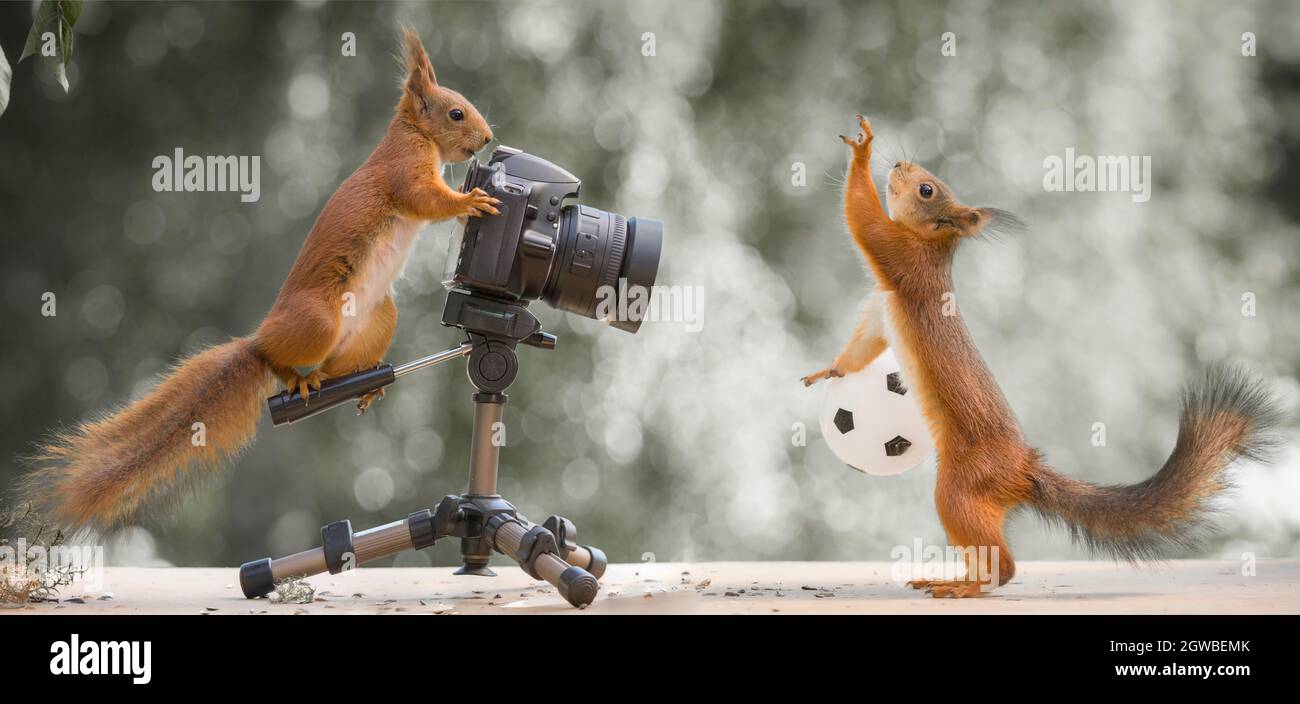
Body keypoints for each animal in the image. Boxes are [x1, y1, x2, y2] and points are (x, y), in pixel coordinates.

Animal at [25, 28, 501, 535]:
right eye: (456, 113)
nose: (488, 138)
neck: (414, 134)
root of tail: (257, 341)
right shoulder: (404, 170)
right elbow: (427, 199)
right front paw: (470, 200)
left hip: (376, 318)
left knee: (334, 365)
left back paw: (363, 380)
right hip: (317, 321)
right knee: (280, 362)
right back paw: (300, 380)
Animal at [800, 113, 1279, 600]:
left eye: (927, 190)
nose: (898, 163)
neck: (931, 245)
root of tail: (1022, 469)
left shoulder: (899, 259)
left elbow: (863, 218)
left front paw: (863, 151)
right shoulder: (878, 316)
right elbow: (861, 349)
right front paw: (829, 369)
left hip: (959, 489)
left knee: (1003, 563)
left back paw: (970, 587)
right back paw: (956, 578)